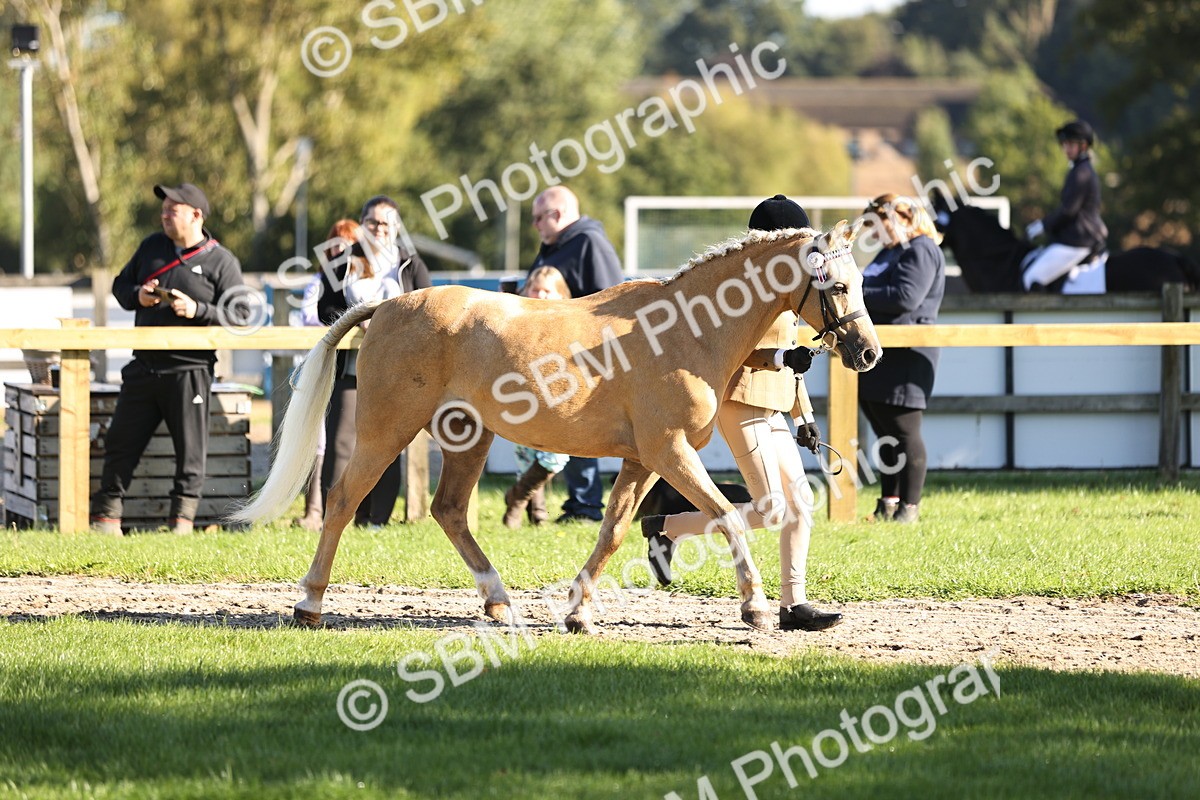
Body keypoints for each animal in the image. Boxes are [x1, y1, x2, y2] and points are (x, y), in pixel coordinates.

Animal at [231, 222, 881, 634]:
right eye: (839, 285)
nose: (869, 354)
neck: (685, 331)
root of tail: (387, 305)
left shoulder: (642, 460)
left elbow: (614, 530)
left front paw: (578, 613)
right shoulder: (670, 452)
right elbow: (726, 516)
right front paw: (756, 609)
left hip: (468, 435)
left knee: (449, 510)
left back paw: (498, 602)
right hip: (385, 431)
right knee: (343, 500)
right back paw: (309, 604)